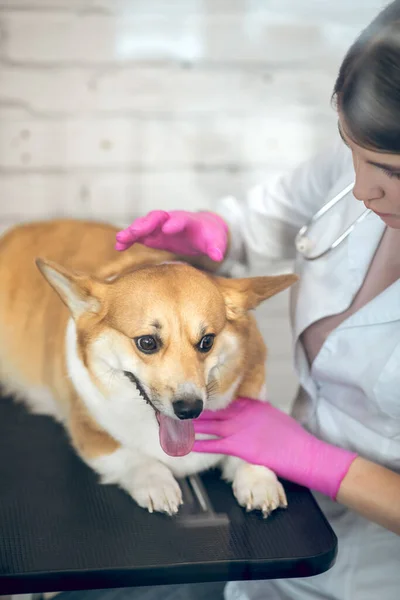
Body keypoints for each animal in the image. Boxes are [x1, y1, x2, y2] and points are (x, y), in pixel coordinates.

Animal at [0, 219, 298, 516]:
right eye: (147, 342)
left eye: (207, 341)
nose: (190, 410)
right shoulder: (90, 433)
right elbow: (133, 457)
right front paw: (157, 483)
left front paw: (258, 480)